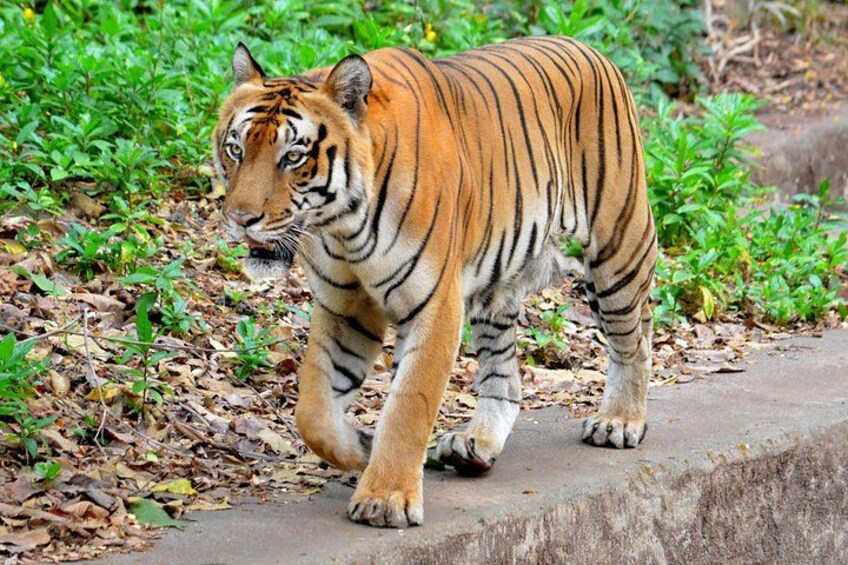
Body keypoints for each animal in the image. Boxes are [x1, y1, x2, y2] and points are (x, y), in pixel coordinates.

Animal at [213, 35, 657, 528]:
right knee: (504, 374)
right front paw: (361, 449)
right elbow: (312, 410)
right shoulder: (346, 307)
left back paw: (619, 421)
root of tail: (590, 48)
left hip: (618, 249)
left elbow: (409, 404)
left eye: (293, 157)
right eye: (236, 150)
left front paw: (385, 498)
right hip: (496, 285)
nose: (241, 219)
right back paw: (476, 444)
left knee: (633, 340)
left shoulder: (434, 305)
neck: (342, 226)